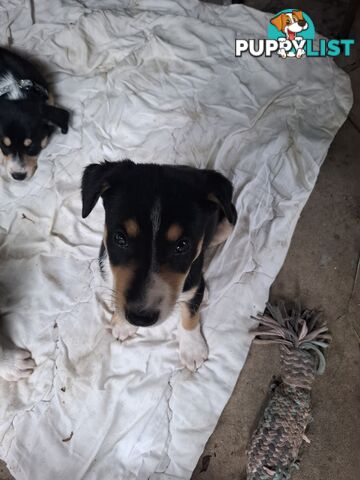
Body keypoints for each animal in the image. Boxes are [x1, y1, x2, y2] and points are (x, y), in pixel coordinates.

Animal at [82, 161, 238, 372]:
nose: (140, 318)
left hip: (227, 225)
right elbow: (117, 292)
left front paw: (192, 349)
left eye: (182, 245)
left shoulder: (192, 277)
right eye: (119, 238)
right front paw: (123, 324)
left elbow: (190, 314)